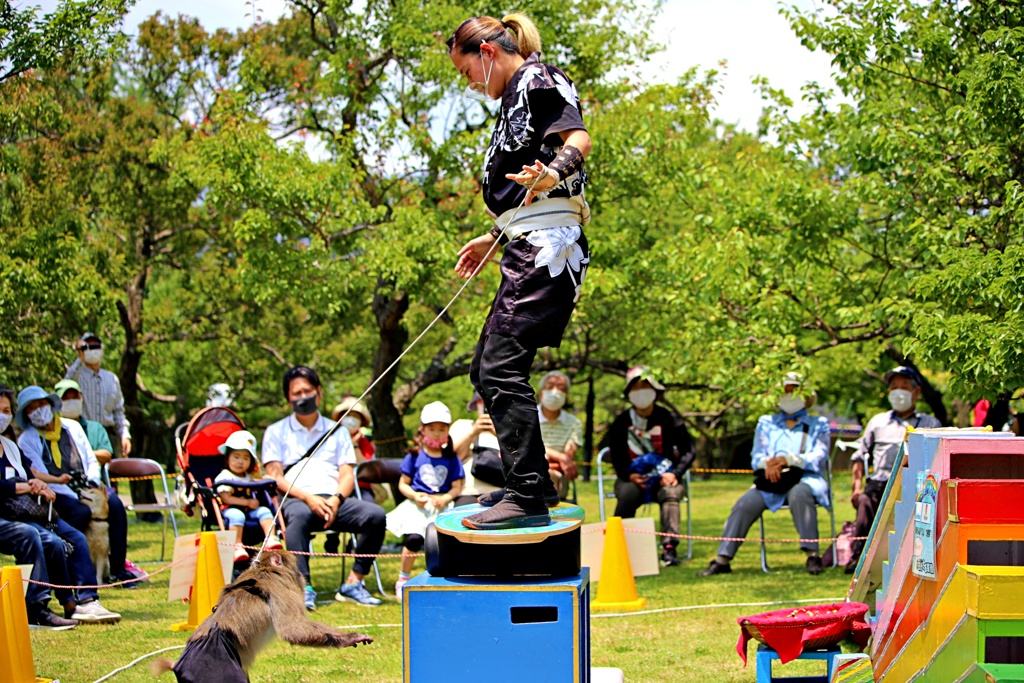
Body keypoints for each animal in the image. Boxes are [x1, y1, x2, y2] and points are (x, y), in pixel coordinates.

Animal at [151, 548, 372, 683]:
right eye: (294, 567)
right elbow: (293, 629)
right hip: (213, 669)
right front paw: (351, 637)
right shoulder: (282, 588)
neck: (266, 569)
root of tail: (177, 666)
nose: (301, 575)